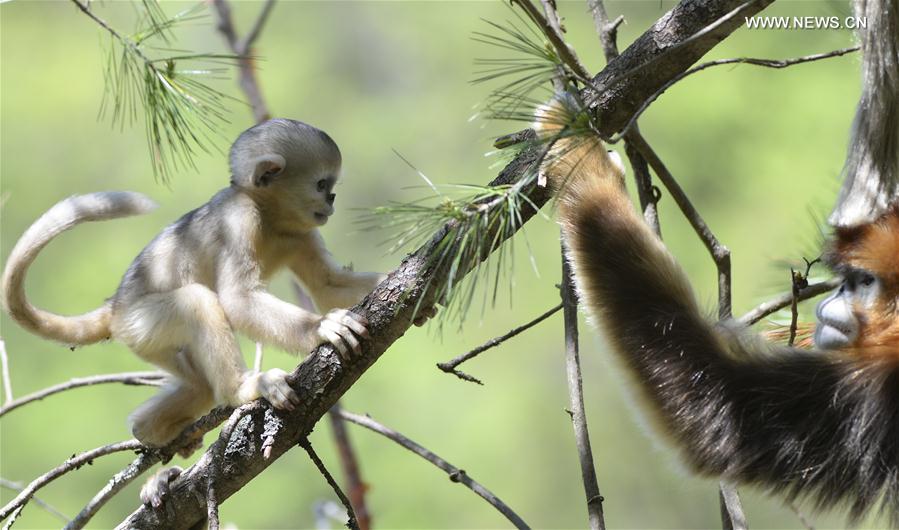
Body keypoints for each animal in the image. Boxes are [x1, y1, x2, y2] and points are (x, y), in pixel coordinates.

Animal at [1, 119, 385, 451]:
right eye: (322, 184)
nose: (331, 200)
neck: (270, 217)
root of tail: (116, 306)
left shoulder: (300, 231)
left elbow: (327, 285)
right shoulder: (239, 219)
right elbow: (238, 299)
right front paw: (322, 328)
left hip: (147, 342)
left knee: (199, 387)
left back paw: (151, 430)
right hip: (142, 322)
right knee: (198, 303)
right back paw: (243, 389)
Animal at [529, 0, 899, 522]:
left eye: (863, 281)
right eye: (847, 279)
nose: (835, 299)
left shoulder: (870, 393)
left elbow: (713, 405)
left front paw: (580, 159)